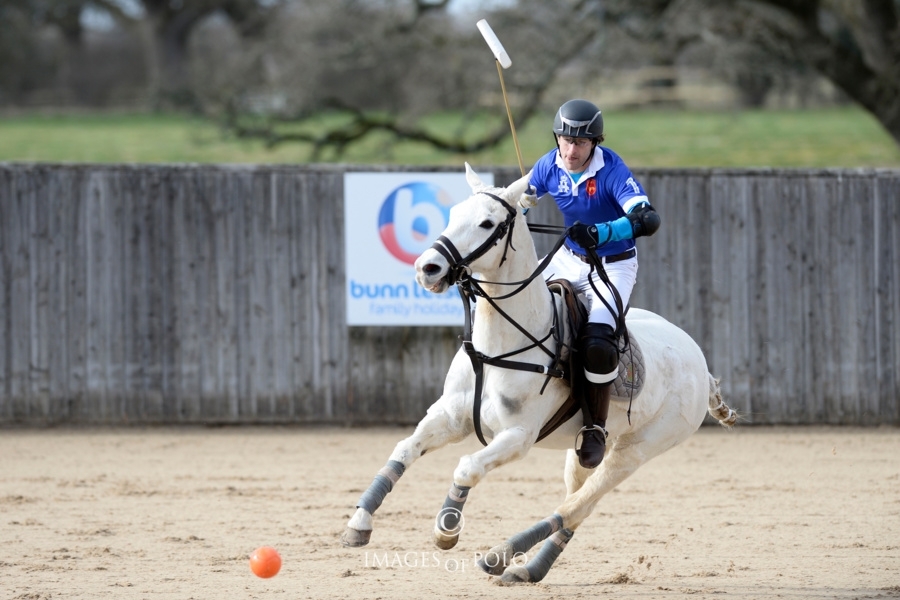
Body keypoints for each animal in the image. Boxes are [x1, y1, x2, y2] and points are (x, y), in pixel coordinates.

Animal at [342, 163, 736, 580]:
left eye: (487, 223)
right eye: (452, 214)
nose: (427, 268)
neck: (498, 345)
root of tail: (701, 363)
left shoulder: (519, 436)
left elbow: (467, 468)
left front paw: (446, 530)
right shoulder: (450, 415)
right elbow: (404, 449)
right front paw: (359, 523)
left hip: (640, 448)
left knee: (576, 505)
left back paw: (501, 555)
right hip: (585, 452)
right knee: (578, 503)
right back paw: (527, 569)